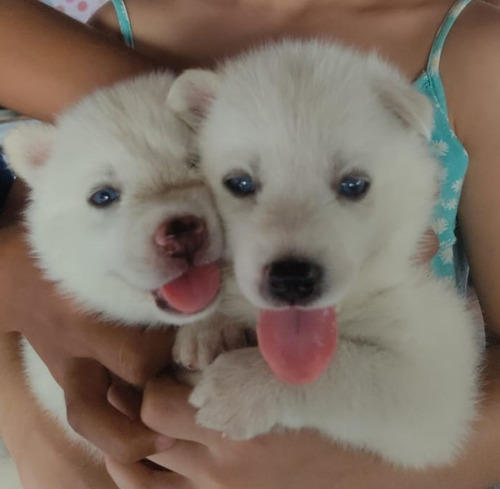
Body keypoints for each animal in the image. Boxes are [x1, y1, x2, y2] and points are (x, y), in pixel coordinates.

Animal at [169, 42, 484, 468]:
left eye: (354, 184)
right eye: (239, 183)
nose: (291, 278)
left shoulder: (435, 368)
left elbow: (350, 369)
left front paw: (239, 386)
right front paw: (209, 324)